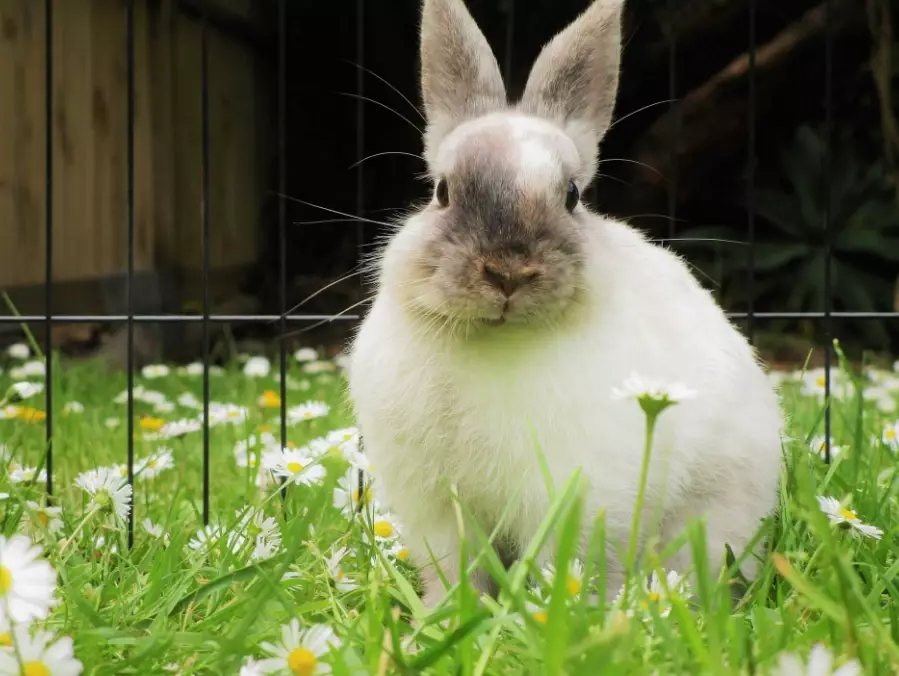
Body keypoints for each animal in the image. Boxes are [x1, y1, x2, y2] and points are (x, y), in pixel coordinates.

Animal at [347, 0, 783, 608]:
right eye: (441, 192)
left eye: (572, 196)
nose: (508, 272)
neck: (496, 338)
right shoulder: (438, 508)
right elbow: (457, 570)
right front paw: (444, 616)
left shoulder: (578, 494)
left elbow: (570, 563)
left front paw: (565, 612)